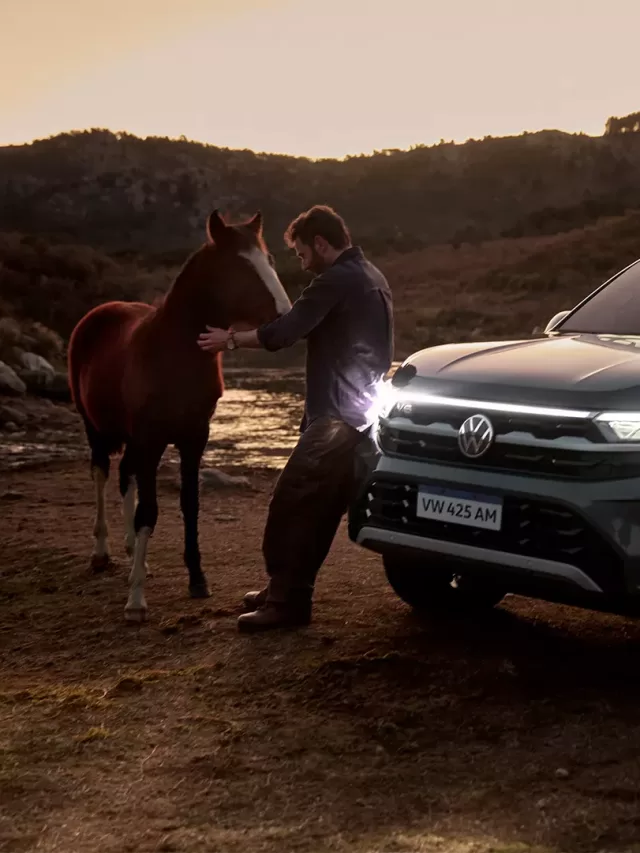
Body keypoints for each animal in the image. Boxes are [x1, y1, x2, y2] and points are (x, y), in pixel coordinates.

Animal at [68, 206, 292, 620]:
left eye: (268, 260)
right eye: (240, 266)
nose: (284, 316)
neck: (176, 353)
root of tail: (99, 313)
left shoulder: (194, 437)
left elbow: (189, 505)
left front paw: (197, 579)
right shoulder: (152, 438)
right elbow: (149, 511)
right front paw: (136, 600)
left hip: (133, 439)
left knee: (124, 477)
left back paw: (131, 552)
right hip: (97, 428)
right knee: (101, 474)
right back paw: (102, 553)